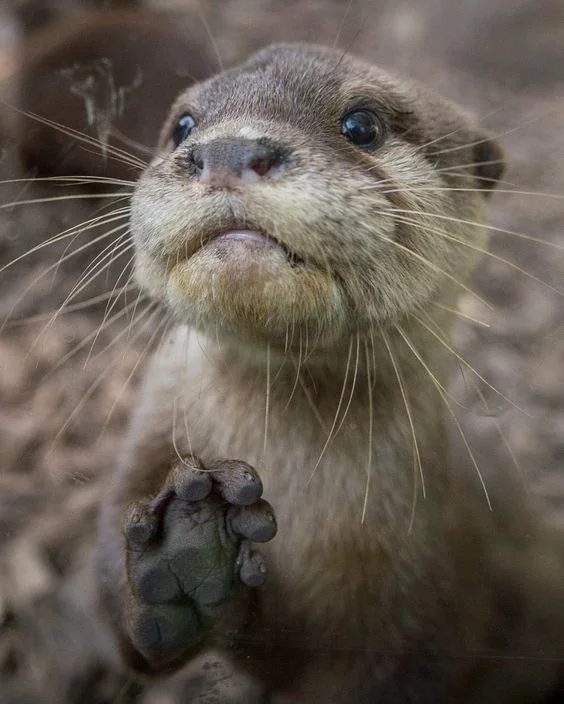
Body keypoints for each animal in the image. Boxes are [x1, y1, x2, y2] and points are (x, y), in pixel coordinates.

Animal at [93, 45, 564, 704]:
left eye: (362, 125)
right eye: (183, 125)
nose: (228, 151)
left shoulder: (412, 610)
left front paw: (194, 556)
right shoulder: (148, 432)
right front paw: (184, 556)